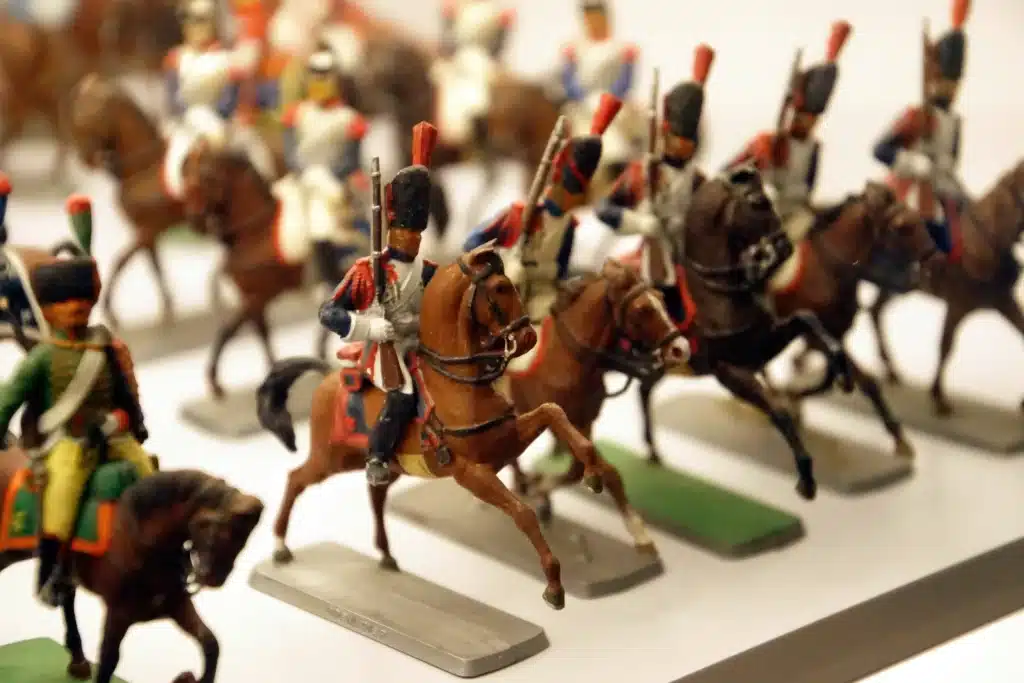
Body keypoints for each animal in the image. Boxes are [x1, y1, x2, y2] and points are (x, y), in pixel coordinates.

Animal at [0, 454, 262, 683]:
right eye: (221, 529)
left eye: (245, 538)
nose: (216, 578)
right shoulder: (118, 613)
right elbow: (108, 663)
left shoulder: (177, 605)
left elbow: (211, 644)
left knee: (68, 597)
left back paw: (78, 659)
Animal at [65, 73, 188, 329]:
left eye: (87, 115)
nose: (86, 160)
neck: (144, 166)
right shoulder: (146, 232)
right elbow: (155, 266)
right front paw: (168, 306)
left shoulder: (147, 230)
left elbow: (120, 260)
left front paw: (109, 309)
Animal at [258, 245, 655, 610]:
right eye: (500, 288)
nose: (528, 339)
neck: (459, 386)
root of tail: (327, 378)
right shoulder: (472, 473)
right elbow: (522, 512)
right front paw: (554, 585)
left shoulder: (512, 438)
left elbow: (553, 415)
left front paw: (592, 475)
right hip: (331, 459)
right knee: (296, 478)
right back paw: (279, 546)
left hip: (383, 466)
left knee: (375, 495)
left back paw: (385, 556)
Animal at [868, 161, 1024, 411]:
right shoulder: (957, 306)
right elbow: (946, 347)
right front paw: (938, 397)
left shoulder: (1003, 302)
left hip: (892, 288)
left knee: (874, 312)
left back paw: (892, 371)